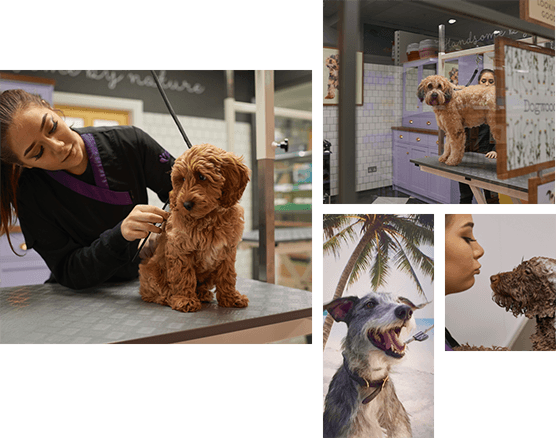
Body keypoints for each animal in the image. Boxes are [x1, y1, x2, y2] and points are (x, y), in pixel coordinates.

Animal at [139, 145, 250, 314]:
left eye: (202, 177)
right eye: (183, 179)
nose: (186, 204)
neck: (209, 217)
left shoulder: (227, 250)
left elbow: (227, 276)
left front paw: (231, 298)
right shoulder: (180, 249)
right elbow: (183, 276)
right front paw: (185, 300)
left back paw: (202, 294)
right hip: (151, 272)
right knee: (155, 291)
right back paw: (169, 298)